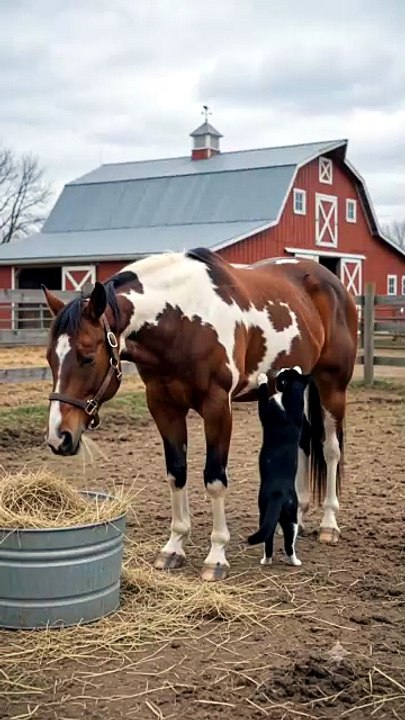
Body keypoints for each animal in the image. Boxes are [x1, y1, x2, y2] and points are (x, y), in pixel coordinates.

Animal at [43, 247, 358, 581]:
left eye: (88, 356)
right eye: (50, 358)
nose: (58, 437)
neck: (183, 321)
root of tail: (332, 284)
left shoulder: (217, 407)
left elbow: (214, 479)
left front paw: (216, 556)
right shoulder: (163, 406)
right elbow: (176, 474)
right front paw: (174, 547)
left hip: (332, 386)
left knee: (331, 449)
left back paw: (329, 524)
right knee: (302, 443)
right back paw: (295, 517)